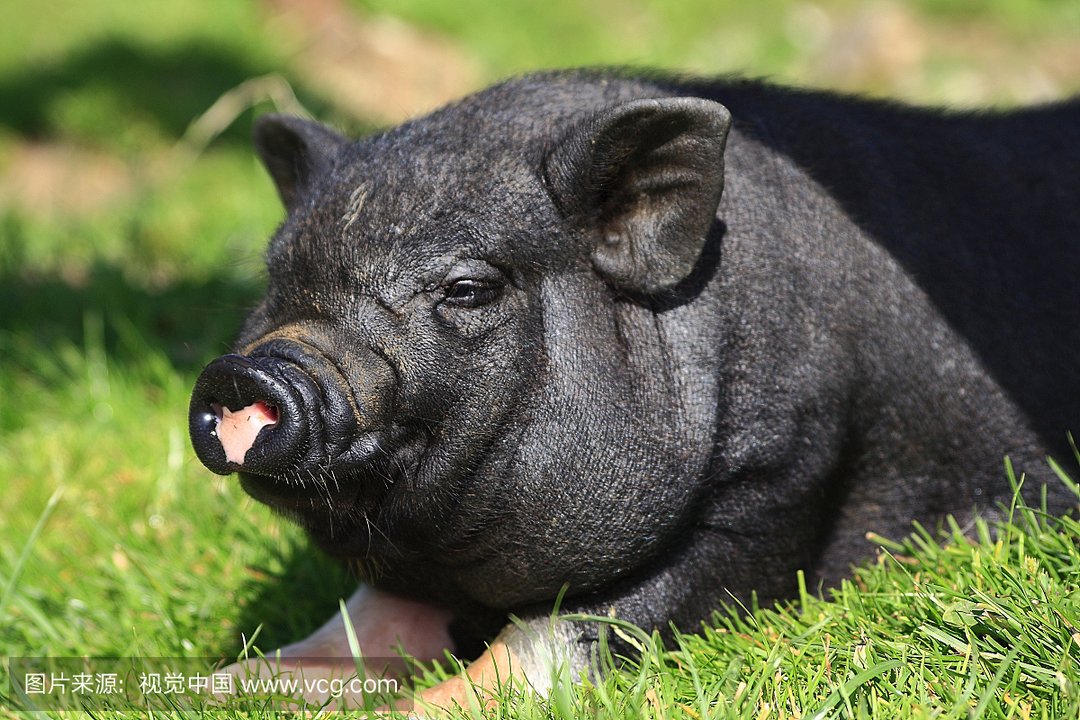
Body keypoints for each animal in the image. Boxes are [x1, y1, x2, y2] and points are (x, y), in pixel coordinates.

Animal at [190, 69, 1075, 703]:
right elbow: (365, 618)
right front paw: (213, 688)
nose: (248, 368)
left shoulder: (782, 479)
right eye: (276, 281)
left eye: (467, 288)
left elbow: (565, 632)